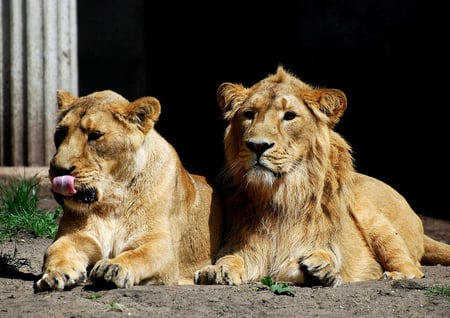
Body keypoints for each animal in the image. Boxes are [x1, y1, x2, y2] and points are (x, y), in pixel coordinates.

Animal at [32, 89, 222, 290]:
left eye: (95, 135)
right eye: (60, 133)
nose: (58, 169)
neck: (112, 202)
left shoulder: (163, 248)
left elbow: (139, 255)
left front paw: (113, 267)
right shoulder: (76, 236)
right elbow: (55, 250)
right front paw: (55, 274)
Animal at [195, 66, 450, 286]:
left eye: (289, 116)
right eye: (249, 114)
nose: (258, 146)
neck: (281, 195)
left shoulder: (320, 244)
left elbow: (324, 254)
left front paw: (321, 269)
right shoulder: (242, 244)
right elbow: (230, 257)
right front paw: (217, 270)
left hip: (373, 218)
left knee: (413, 268)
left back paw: (395, 275)